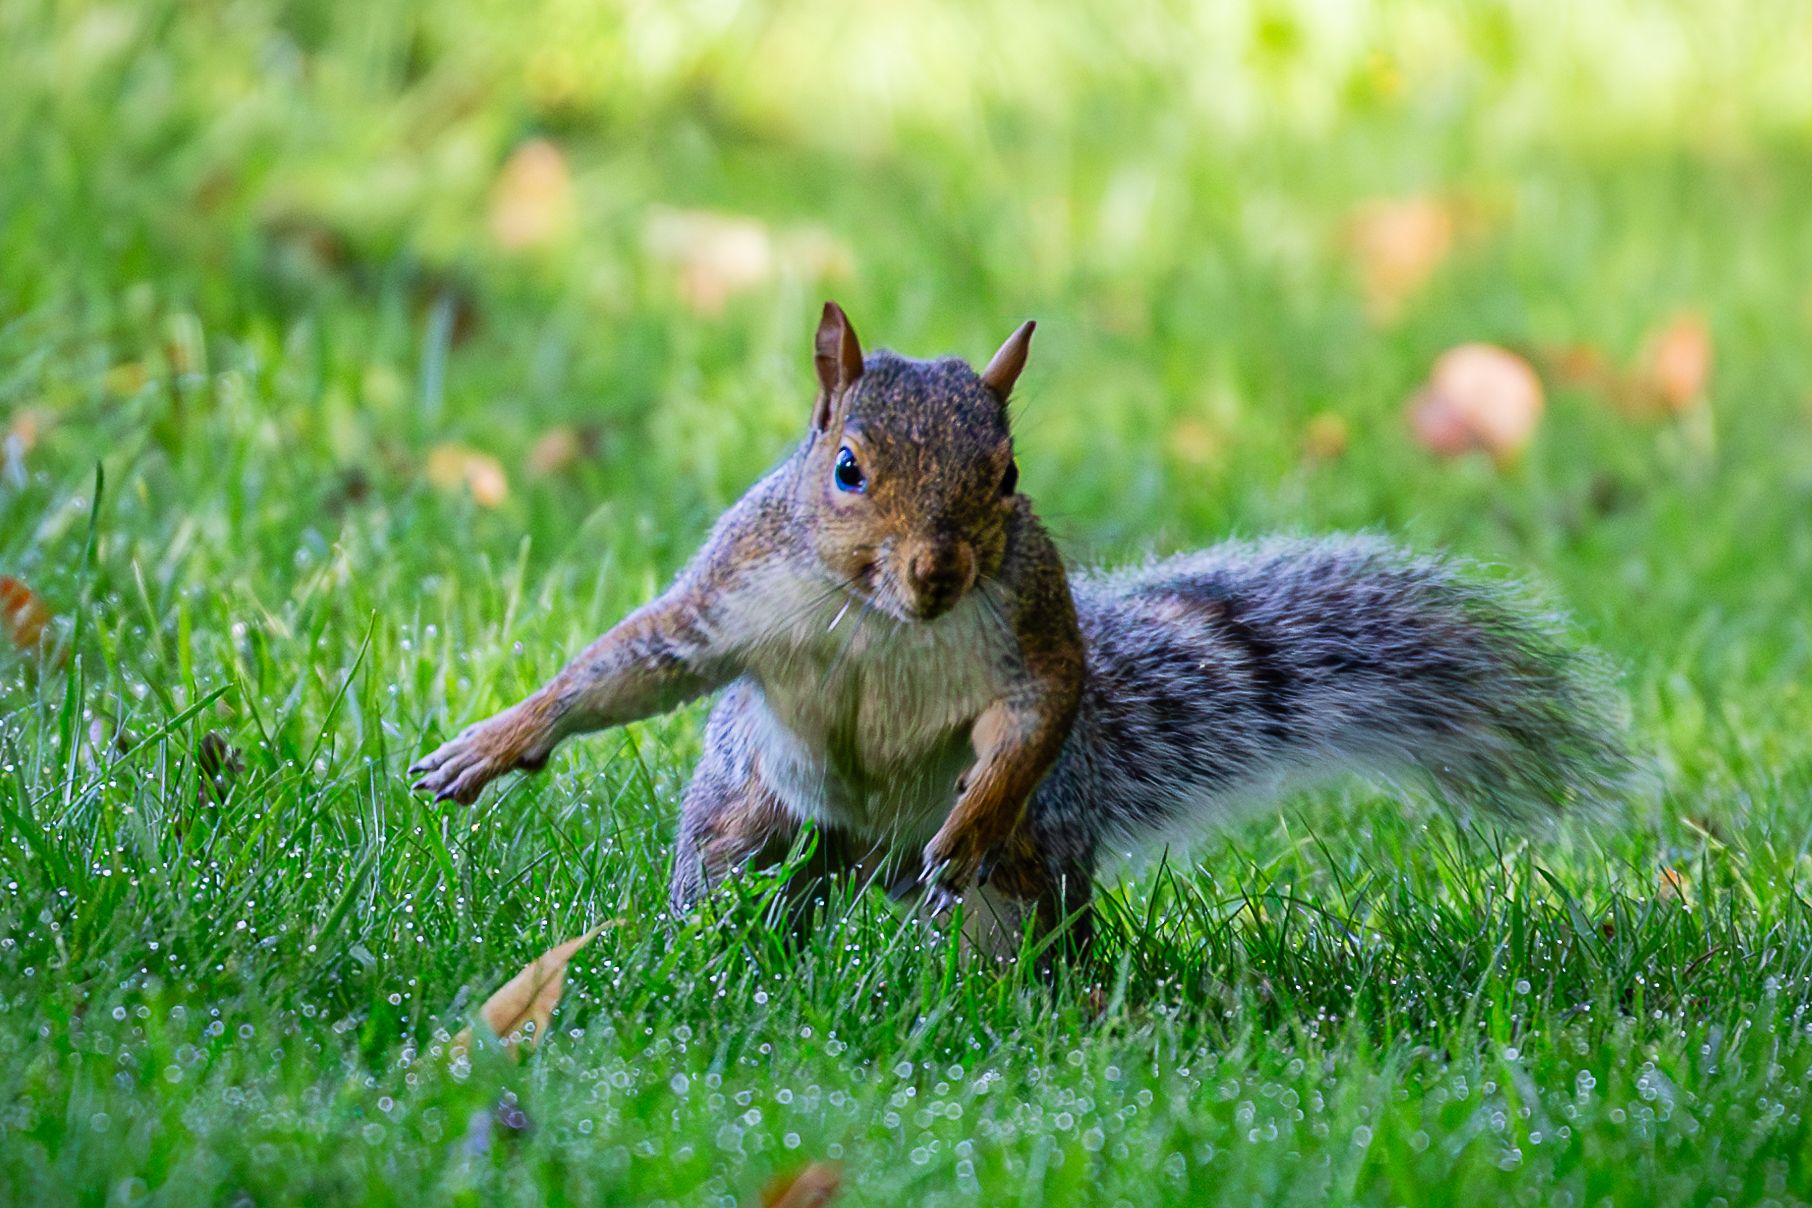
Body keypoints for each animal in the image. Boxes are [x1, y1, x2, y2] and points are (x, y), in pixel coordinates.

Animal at [410, 302, 1632, 960]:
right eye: (846, 468)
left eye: (1005, 476)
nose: (939, 568)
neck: (884, 618)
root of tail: (867, 871)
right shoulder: (736, 590)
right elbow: (633, 665)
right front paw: (496, 742)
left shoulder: (1034, 622)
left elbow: (1042, 707)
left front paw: (974, 811)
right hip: (755, 821)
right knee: (737, 887)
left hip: (1017, 886)